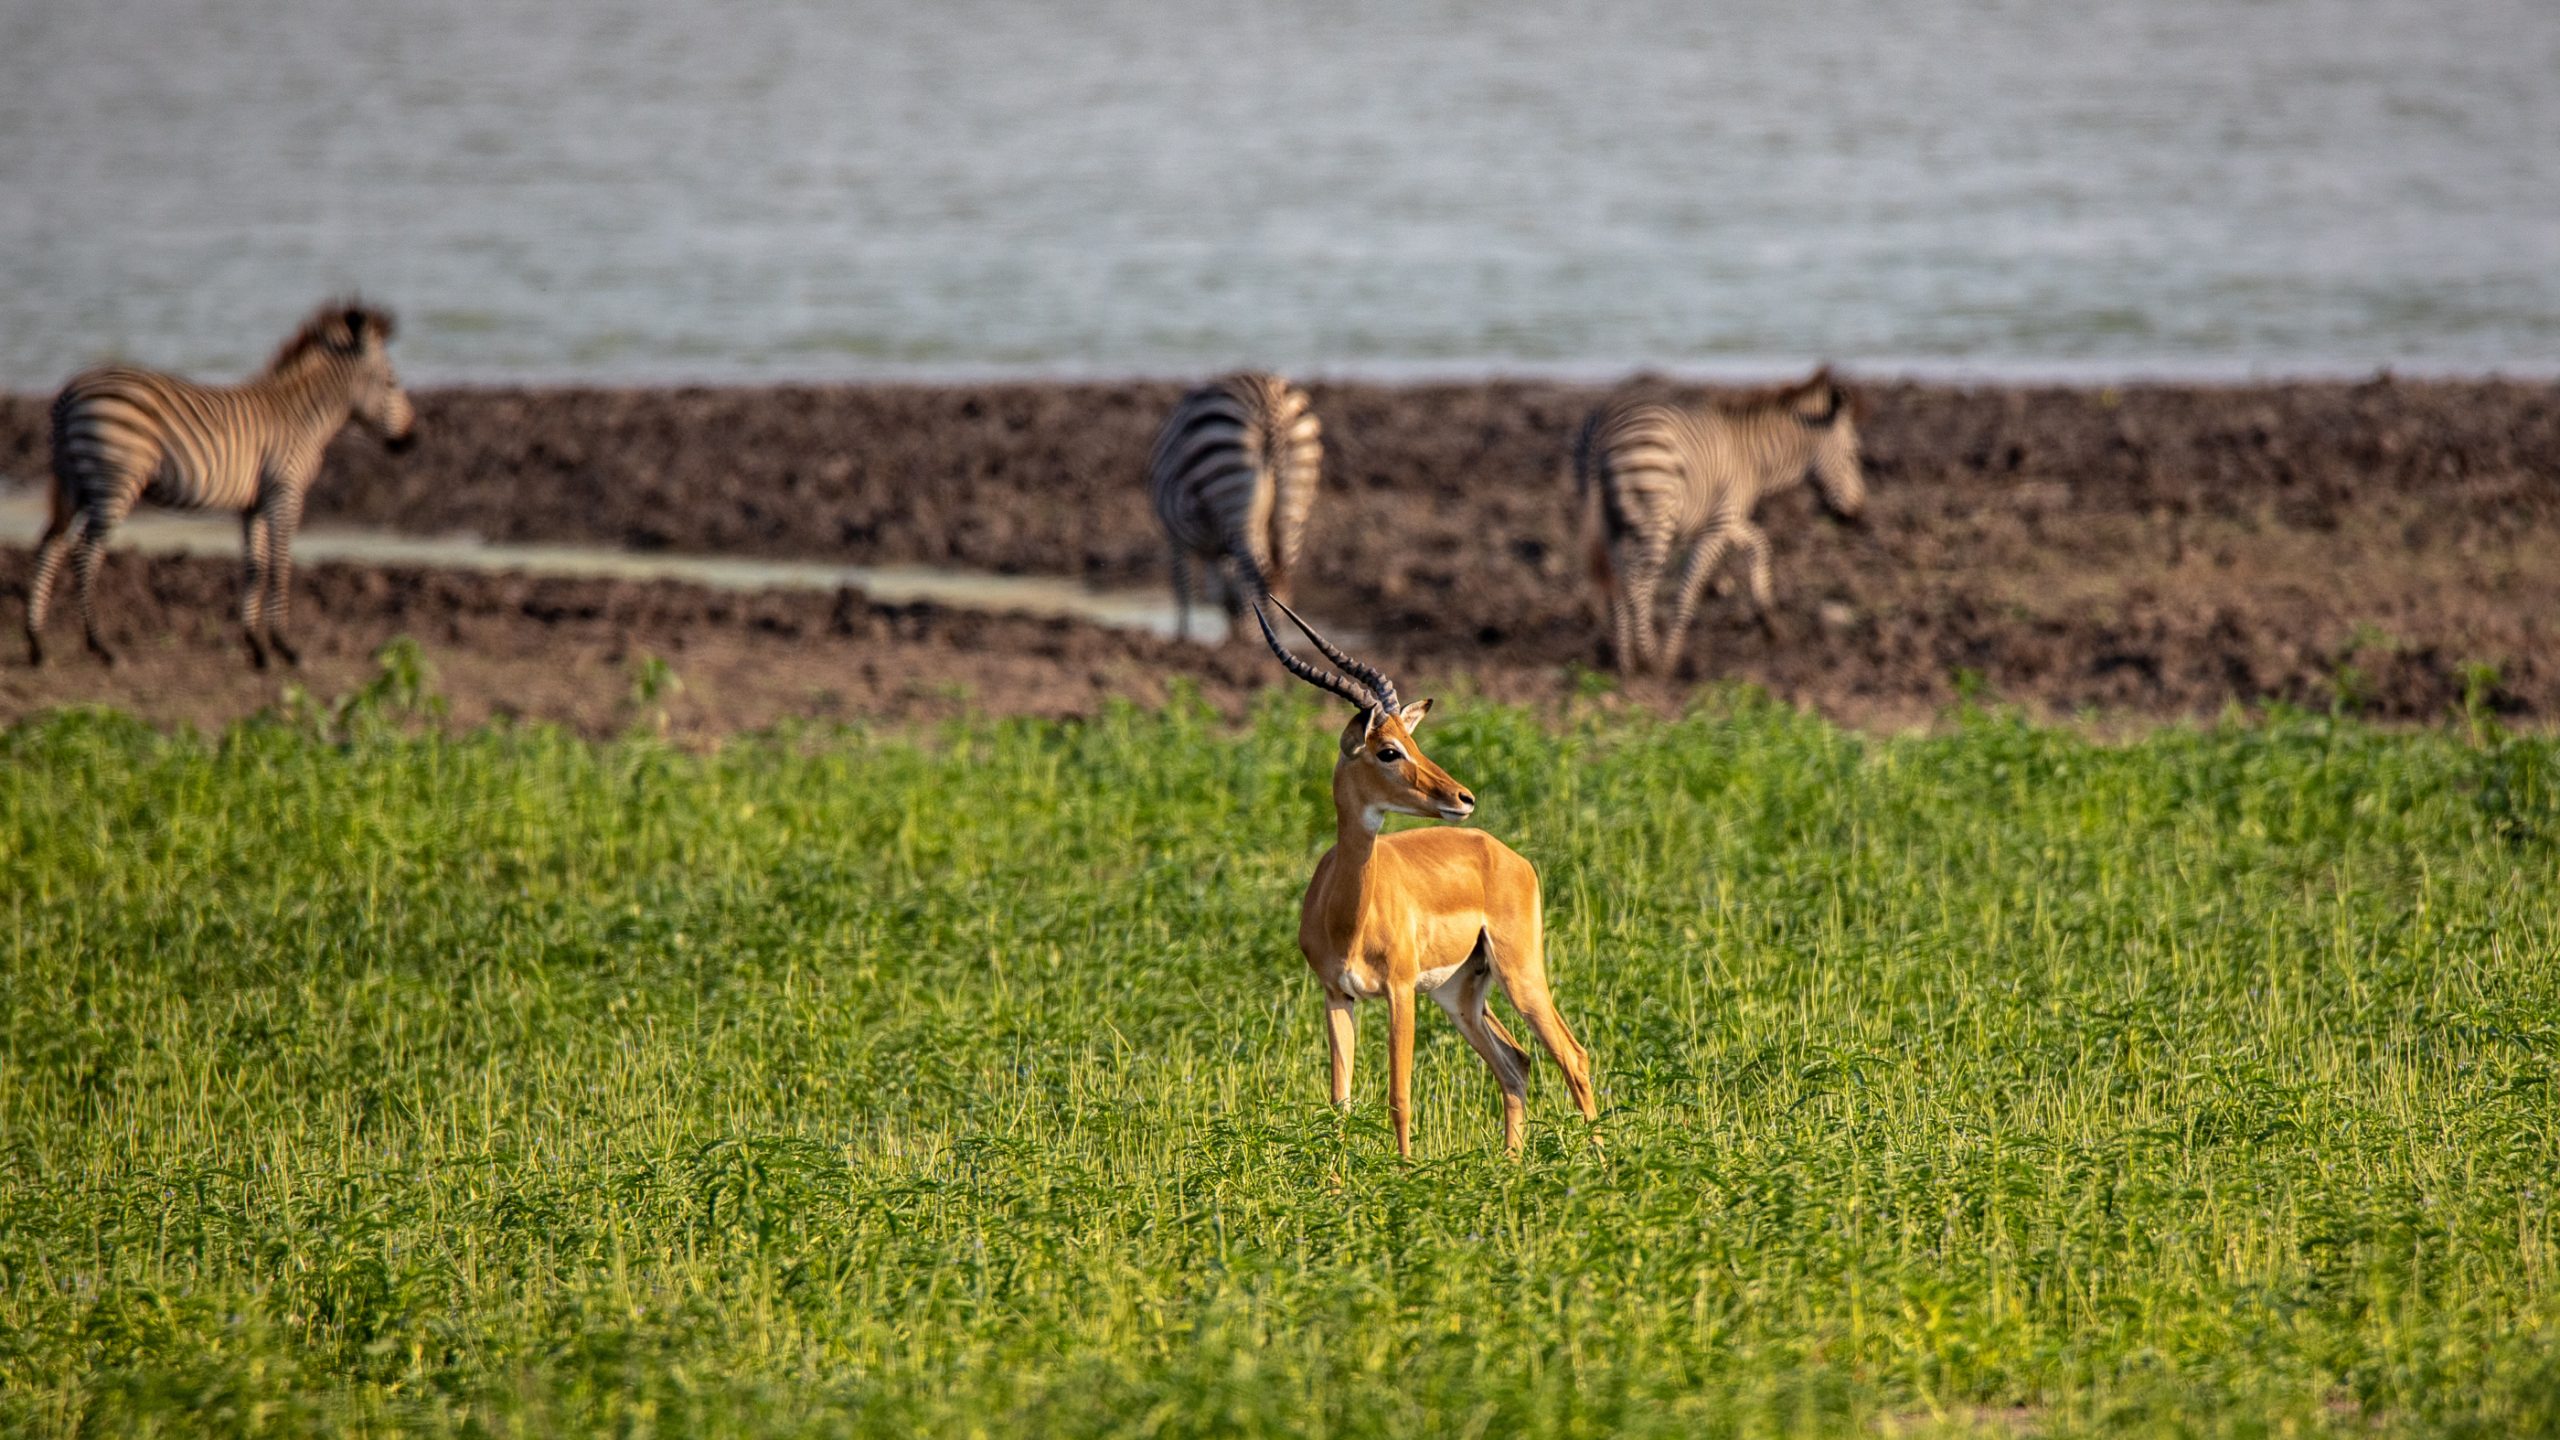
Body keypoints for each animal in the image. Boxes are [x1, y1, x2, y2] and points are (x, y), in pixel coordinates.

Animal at [1252, 598, 1600, 1156]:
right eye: (1389, 750)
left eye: (1410, 743)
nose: (1463, 797)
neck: (1346, 915)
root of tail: (1503, 853)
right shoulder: (1336, 995)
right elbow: (1339, 1103)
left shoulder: (1399, 991)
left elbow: (1399, 1098)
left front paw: (1405, 1172)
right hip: (1460, 993)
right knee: (1516, 1063)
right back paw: (1512, 1163)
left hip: (1519, 973)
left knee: (1572, 1055)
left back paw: (1604, 1164)